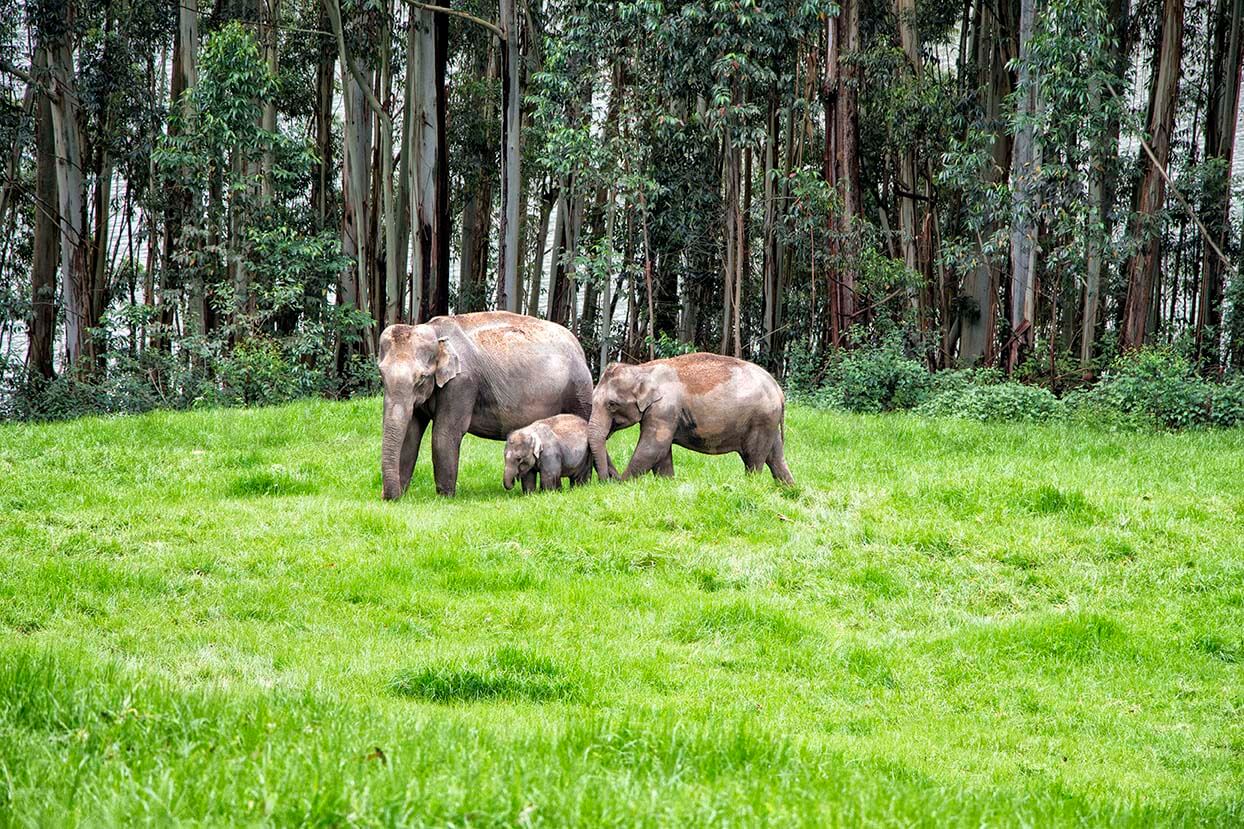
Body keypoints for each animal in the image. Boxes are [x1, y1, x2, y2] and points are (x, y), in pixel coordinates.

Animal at [378, 311, 592, 497]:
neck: (435, 332)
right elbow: (411, 434)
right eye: (381, 374)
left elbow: (445, 433)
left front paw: (444, 498)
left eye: (421, 378)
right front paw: (401, 494)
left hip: (579, 389)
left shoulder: (462, 383)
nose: (387, 497)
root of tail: (579, 346)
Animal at [587, 351, 791, 480]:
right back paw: (789, 489)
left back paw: (750, 485)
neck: (643, 369)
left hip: (760, 419)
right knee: (775, 457)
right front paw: (667, 483)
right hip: (769, 421)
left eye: (612, 404)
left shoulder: (664, 408)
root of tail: (778, 390)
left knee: (754, 459)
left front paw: (622, 484)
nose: (607, 481)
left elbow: (652, 448)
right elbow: (662, 454)